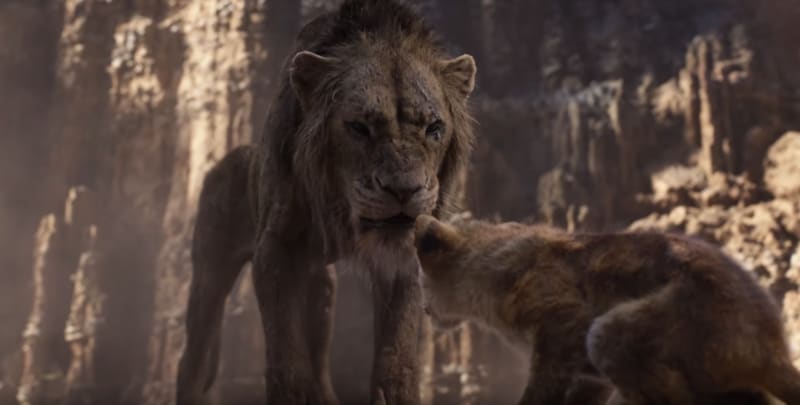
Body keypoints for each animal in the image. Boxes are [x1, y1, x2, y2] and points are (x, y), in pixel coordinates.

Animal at [175, 1, 477, 404]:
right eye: (359, 128)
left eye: (434, 129)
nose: (404, 190)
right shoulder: (276, 247)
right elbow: (286, 350)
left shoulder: (403, 259)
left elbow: (397, 350)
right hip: (210, 272)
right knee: (194, 357)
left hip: (322, 286)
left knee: (319, 355)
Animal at [413, 215, 800, 405]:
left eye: (421, 279)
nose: (423, 309)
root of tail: (772, 347)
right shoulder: (588, 375)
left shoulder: (565, 325)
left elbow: (541, 389)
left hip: (611, 332)